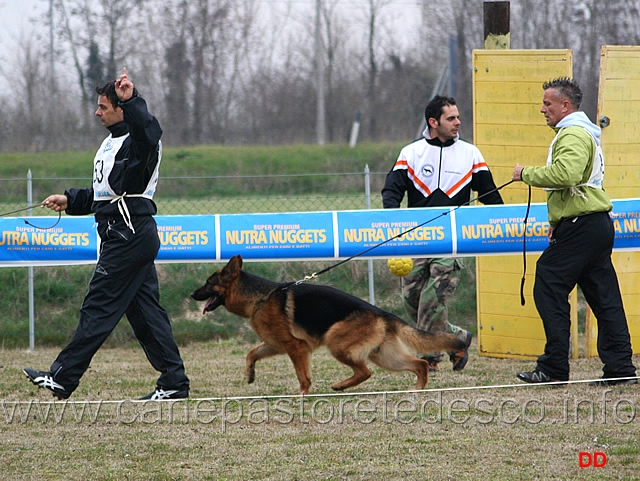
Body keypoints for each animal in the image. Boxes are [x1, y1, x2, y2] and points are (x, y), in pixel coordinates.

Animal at [190, 255, 464, 394]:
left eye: (208, 283)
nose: (192, 294)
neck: (260, 298)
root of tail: (381, 312)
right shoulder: (275, 344)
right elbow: (251, 353)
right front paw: (250, 374)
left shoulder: (296, 347)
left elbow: (303, 376)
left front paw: (302, 395)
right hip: (384, 356)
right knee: (419, 364)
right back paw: (418, 389)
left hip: (336, 342)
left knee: (365, 371)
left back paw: (341, 385)